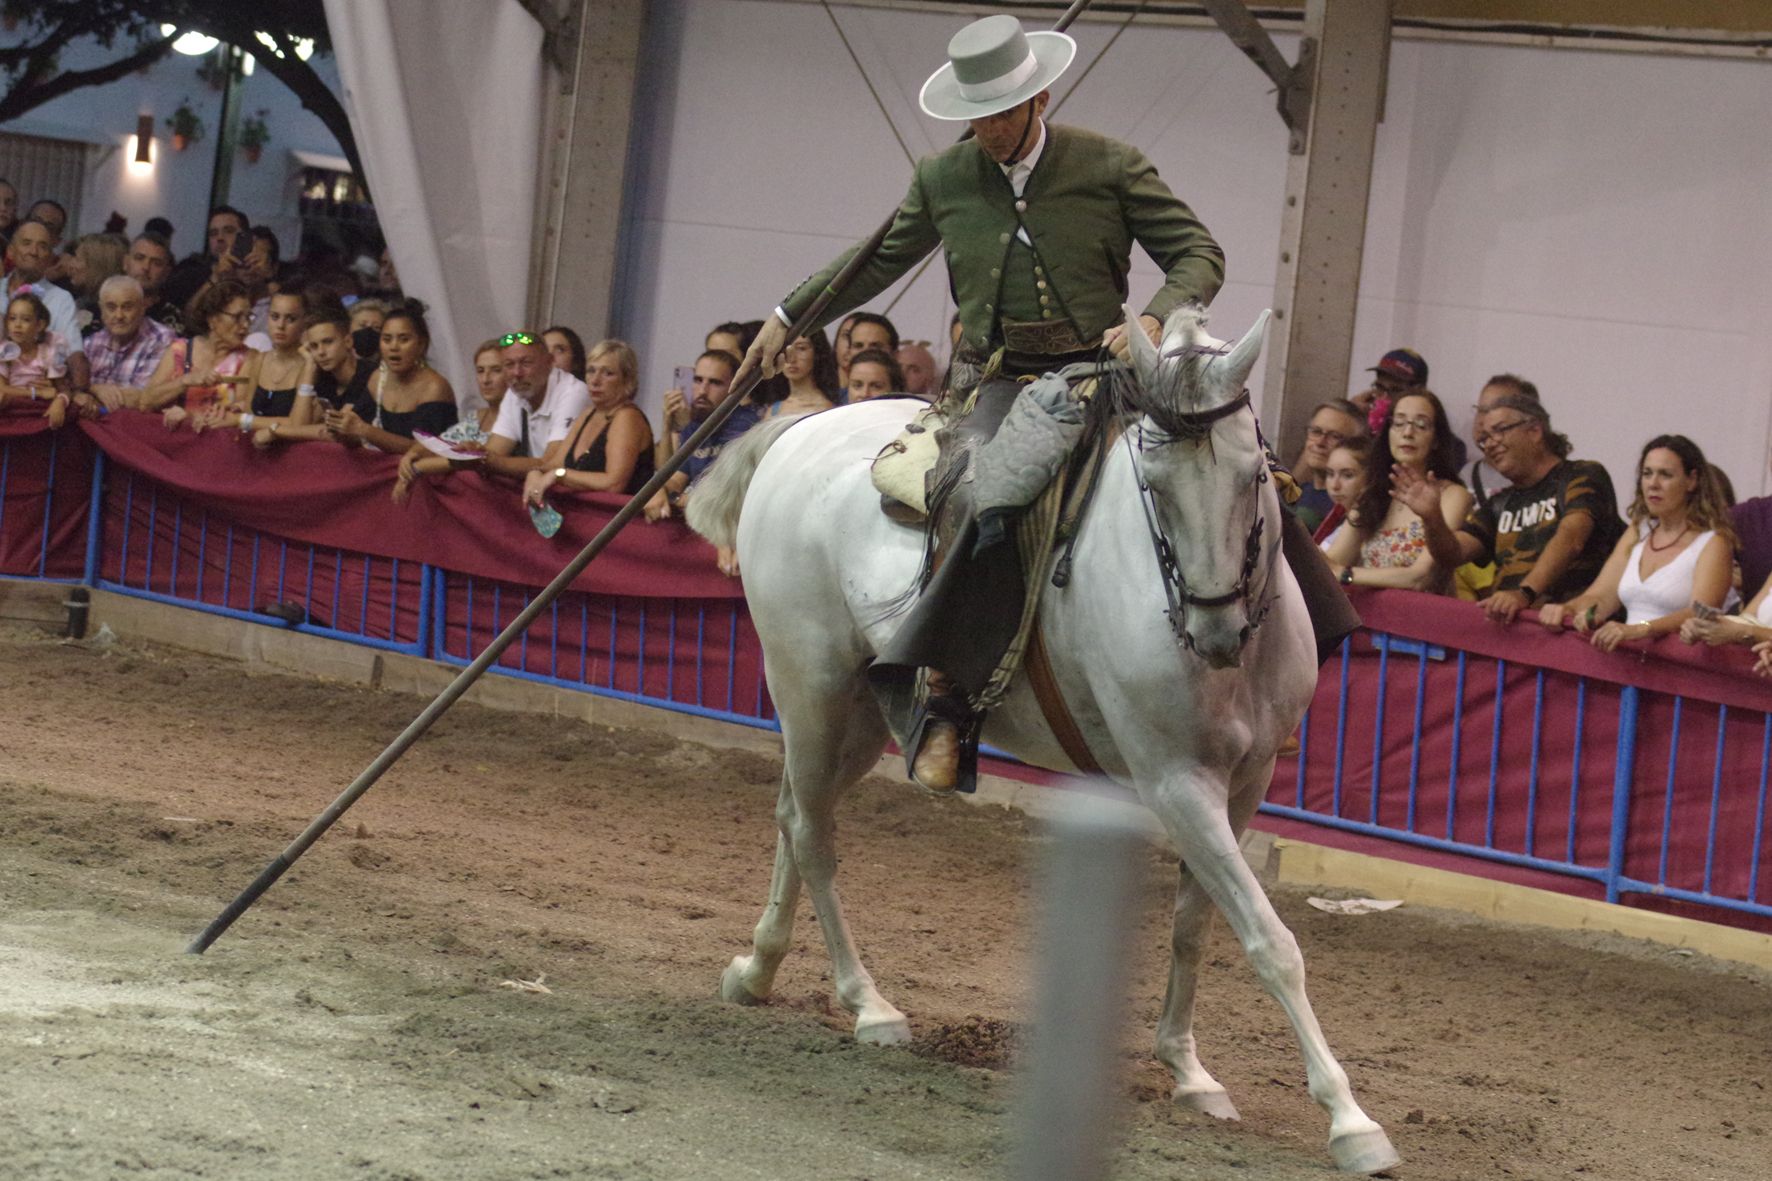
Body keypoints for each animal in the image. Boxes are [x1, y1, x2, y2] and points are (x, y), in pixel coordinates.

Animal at [691, 308, 1396, 1170]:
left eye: (1250, 475)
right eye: (1153, 484)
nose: (1214, 631)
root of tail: (799, 431)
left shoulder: (1247, 780)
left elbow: (1197, 921)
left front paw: (1189, 1071)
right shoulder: (1175, 782)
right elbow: (1270, 940)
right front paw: (1350, 1118)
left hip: (852, 714)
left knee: (796, 815)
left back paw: (757, 968)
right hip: (809, 685)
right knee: (813, 833)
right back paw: (869, 1004)